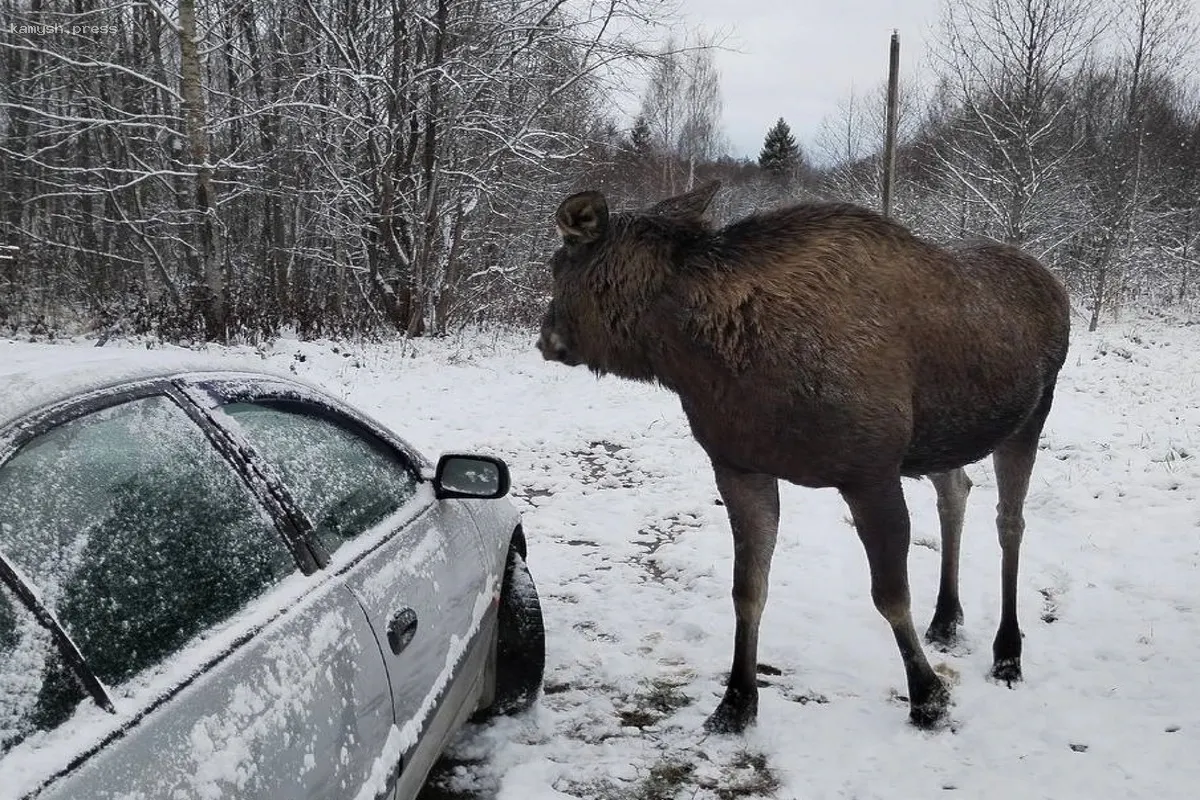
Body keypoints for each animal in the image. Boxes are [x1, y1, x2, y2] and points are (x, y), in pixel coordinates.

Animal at [535, 184, 1070, 734]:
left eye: (557, 264)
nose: (546, 335)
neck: (702, 358)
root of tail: (1055, 283)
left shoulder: (870, 474)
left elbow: (890, 595)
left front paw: (928, 696)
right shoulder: (739, 467)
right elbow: (748, 589)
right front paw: (736, 701)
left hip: (1032, 413)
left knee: (1010, 522)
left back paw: (1007, 652)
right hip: (942, 440)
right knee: (957, 492)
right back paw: (946, 618)